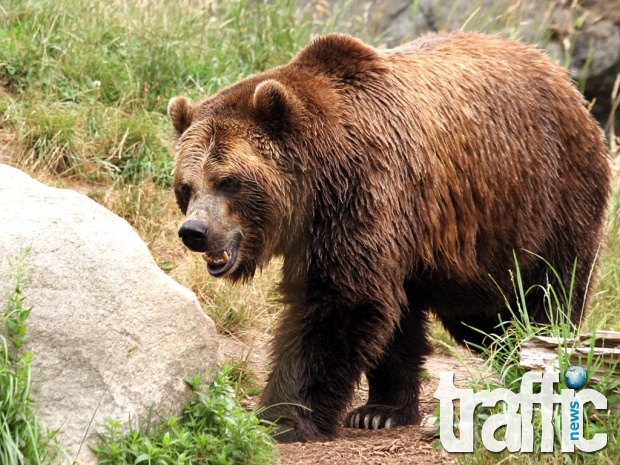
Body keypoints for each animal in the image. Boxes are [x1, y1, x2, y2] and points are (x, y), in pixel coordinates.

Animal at [166, 30, 612, 440]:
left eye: (229, 181)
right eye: (186, 186)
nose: (195, 232)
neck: (319, 180)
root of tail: (563, 79)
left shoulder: (365, 192)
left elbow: (339, 301)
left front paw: (283, 416)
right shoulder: (373, 225)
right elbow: (383, 312)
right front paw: (375, 411)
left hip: (543, 198)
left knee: (542, 294)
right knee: (474, 319)